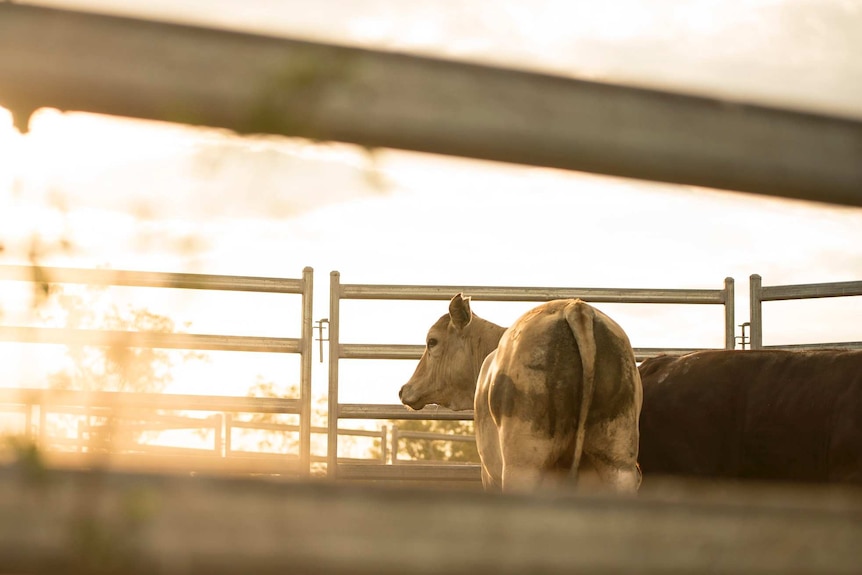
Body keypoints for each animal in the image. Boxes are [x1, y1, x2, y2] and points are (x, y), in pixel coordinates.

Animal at [398, 294, 640, 492]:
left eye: (432, 341)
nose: (404, 389)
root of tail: (576, 308)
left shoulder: (489, 476)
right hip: (618, 464)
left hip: (523, 466)